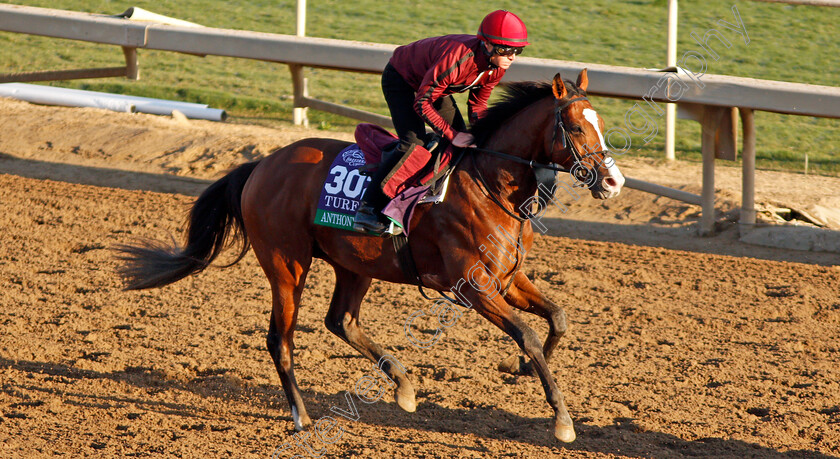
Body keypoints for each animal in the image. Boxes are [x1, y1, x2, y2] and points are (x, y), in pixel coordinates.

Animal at [121, 70, 628, 444]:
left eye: (601, 124)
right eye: (576, 127)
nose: (614, 182)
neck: (488, 183)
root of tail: (261, 164)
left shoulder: (508, 277)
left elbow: (557, 319)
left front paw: (518, 367)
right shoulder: (473, 285)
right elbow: (527, 333)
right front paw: (562, 419)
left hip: (353, 264)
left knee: (341, 320)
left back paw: (402, 385)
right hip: (287, 265)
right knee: (280, 338)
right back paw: (301, 416)